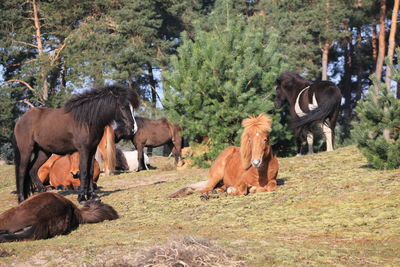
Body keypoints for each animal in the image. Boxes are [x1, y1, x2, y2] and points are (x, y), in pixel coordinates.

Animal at [12, 85, 140, 204]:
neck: (87, 120)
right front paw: (82, 198)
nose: (133, 128)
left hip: (44, 152)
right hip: (26, 150)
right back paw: (22, 199)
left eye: (132, 108)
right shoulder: (84, 150)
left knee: (32, 170)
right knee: (22, 171)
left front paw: (93, 196)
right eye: (123, 107)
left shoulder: (92, 150)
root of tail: (20, 120)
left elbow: (90, 172)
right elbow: (83, 172)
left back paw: (42, 192)